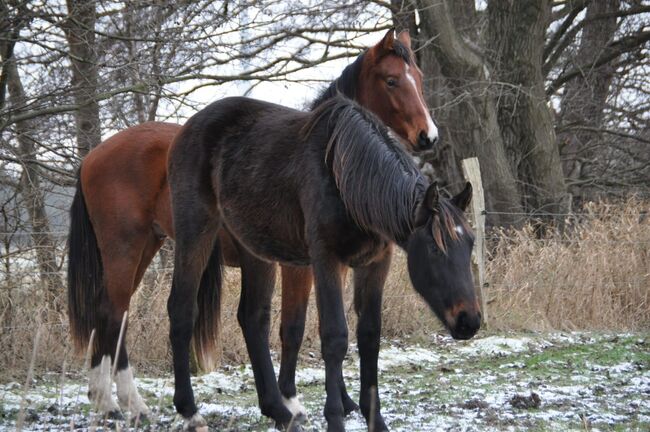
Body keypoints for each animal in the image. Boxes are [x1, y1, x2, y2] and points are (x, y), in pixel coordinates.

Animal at [68, 30, 438, 422]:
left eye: (419, 79)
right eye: (392, 80)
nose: (428, 136)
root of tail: (92, 157)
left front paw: (340, 400)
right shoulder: (301, 266)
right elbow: (293, 327)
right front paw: (292, 398)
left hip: (145, 248)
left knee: (109, 314)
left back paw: (106, 398)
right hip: (129, 248)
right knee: (115, 313)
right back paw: (127, 402)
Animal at [166, 95, 480, 432]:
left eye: (471, 244)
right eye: (435, 249)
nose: (469, 321)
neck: (348, 177)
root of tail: (188, 127)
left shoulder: (375, 263)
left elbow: (369, 336)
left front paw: (375, 420)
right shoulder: (325, 259)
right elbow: (334, 336)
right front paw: (335, 418)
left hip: (255, 250)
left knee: (253, 318)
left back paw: (279, 411)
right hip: (195, 230)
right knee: (182, 310)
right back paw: (189, 410)